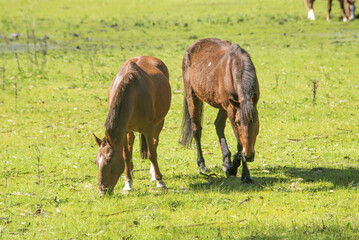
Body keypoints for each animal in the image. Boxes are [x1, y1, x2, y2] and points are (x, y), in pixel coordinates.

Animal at [93, 56, 172, 195]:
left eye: (110, 160)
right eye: (97, 162)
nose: (102, 191)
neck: (134, 93)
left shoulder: (148, 128)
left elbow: (152, 154)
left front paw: (160, 181)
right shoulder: (124, 131)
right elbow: (126, 156)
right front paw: (128, 183)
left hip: (159, 122)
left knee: (155, 143)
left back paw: (153, 174)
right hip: (129, 130)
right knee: (131, 144)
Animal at [181, 38, 260, 184]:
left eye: (256, 122)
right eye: (239, 122)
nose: (249, 155)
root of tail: (192, 46)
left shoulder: (231, 107)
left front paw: (232, 167)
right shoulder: (232, 111)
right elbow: (240, 143)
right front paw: (243, 174)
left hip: (223, 106)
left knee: (218, 125)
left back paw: (226, 161)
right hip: (193, 98)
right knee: (196, 130)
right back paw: (202, 165)